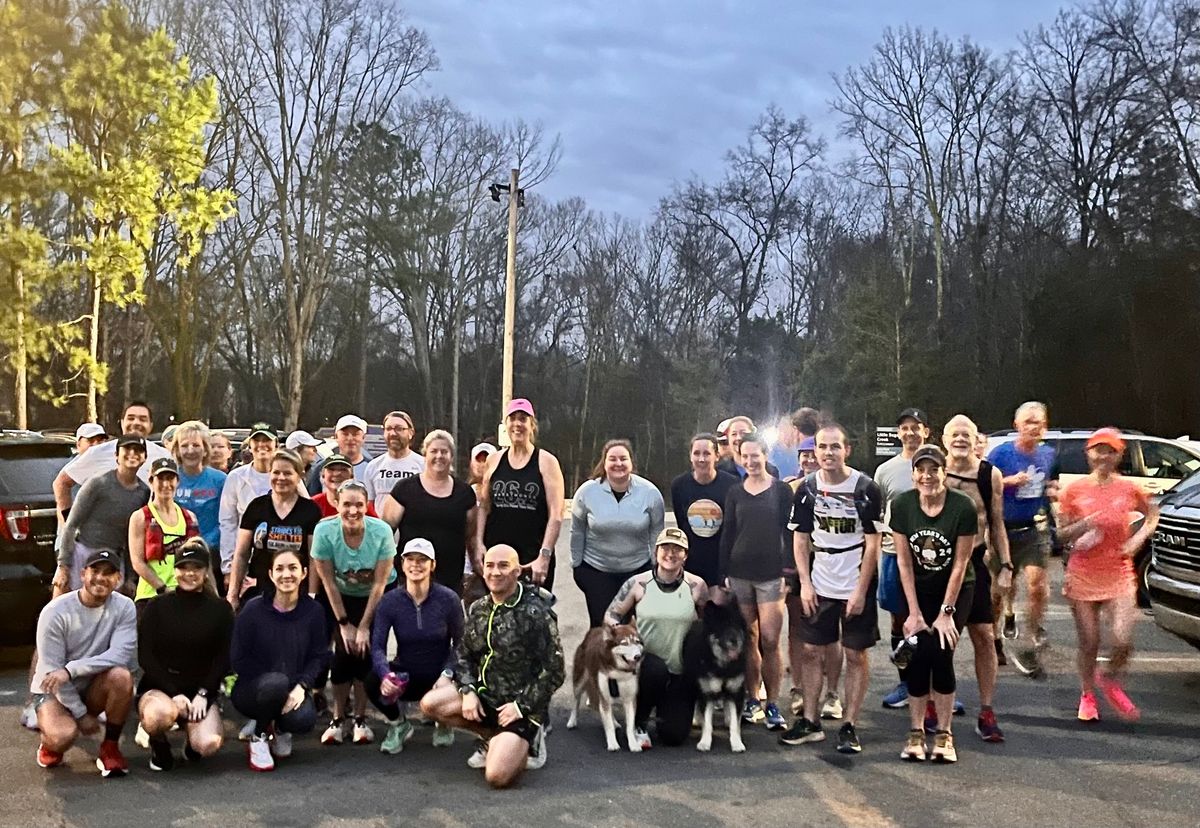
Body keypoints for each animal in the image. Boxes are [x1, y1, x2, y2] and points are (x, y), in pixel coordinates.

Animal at [686, 597, 739, 753]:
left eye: (736, 625)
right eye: (722, 627)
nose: (735, 641)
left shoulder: (735, 690)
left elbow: (735, 722)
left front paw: (737, 743)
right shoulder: (707, 690)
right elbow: (707, 722)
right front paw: (705, 742)